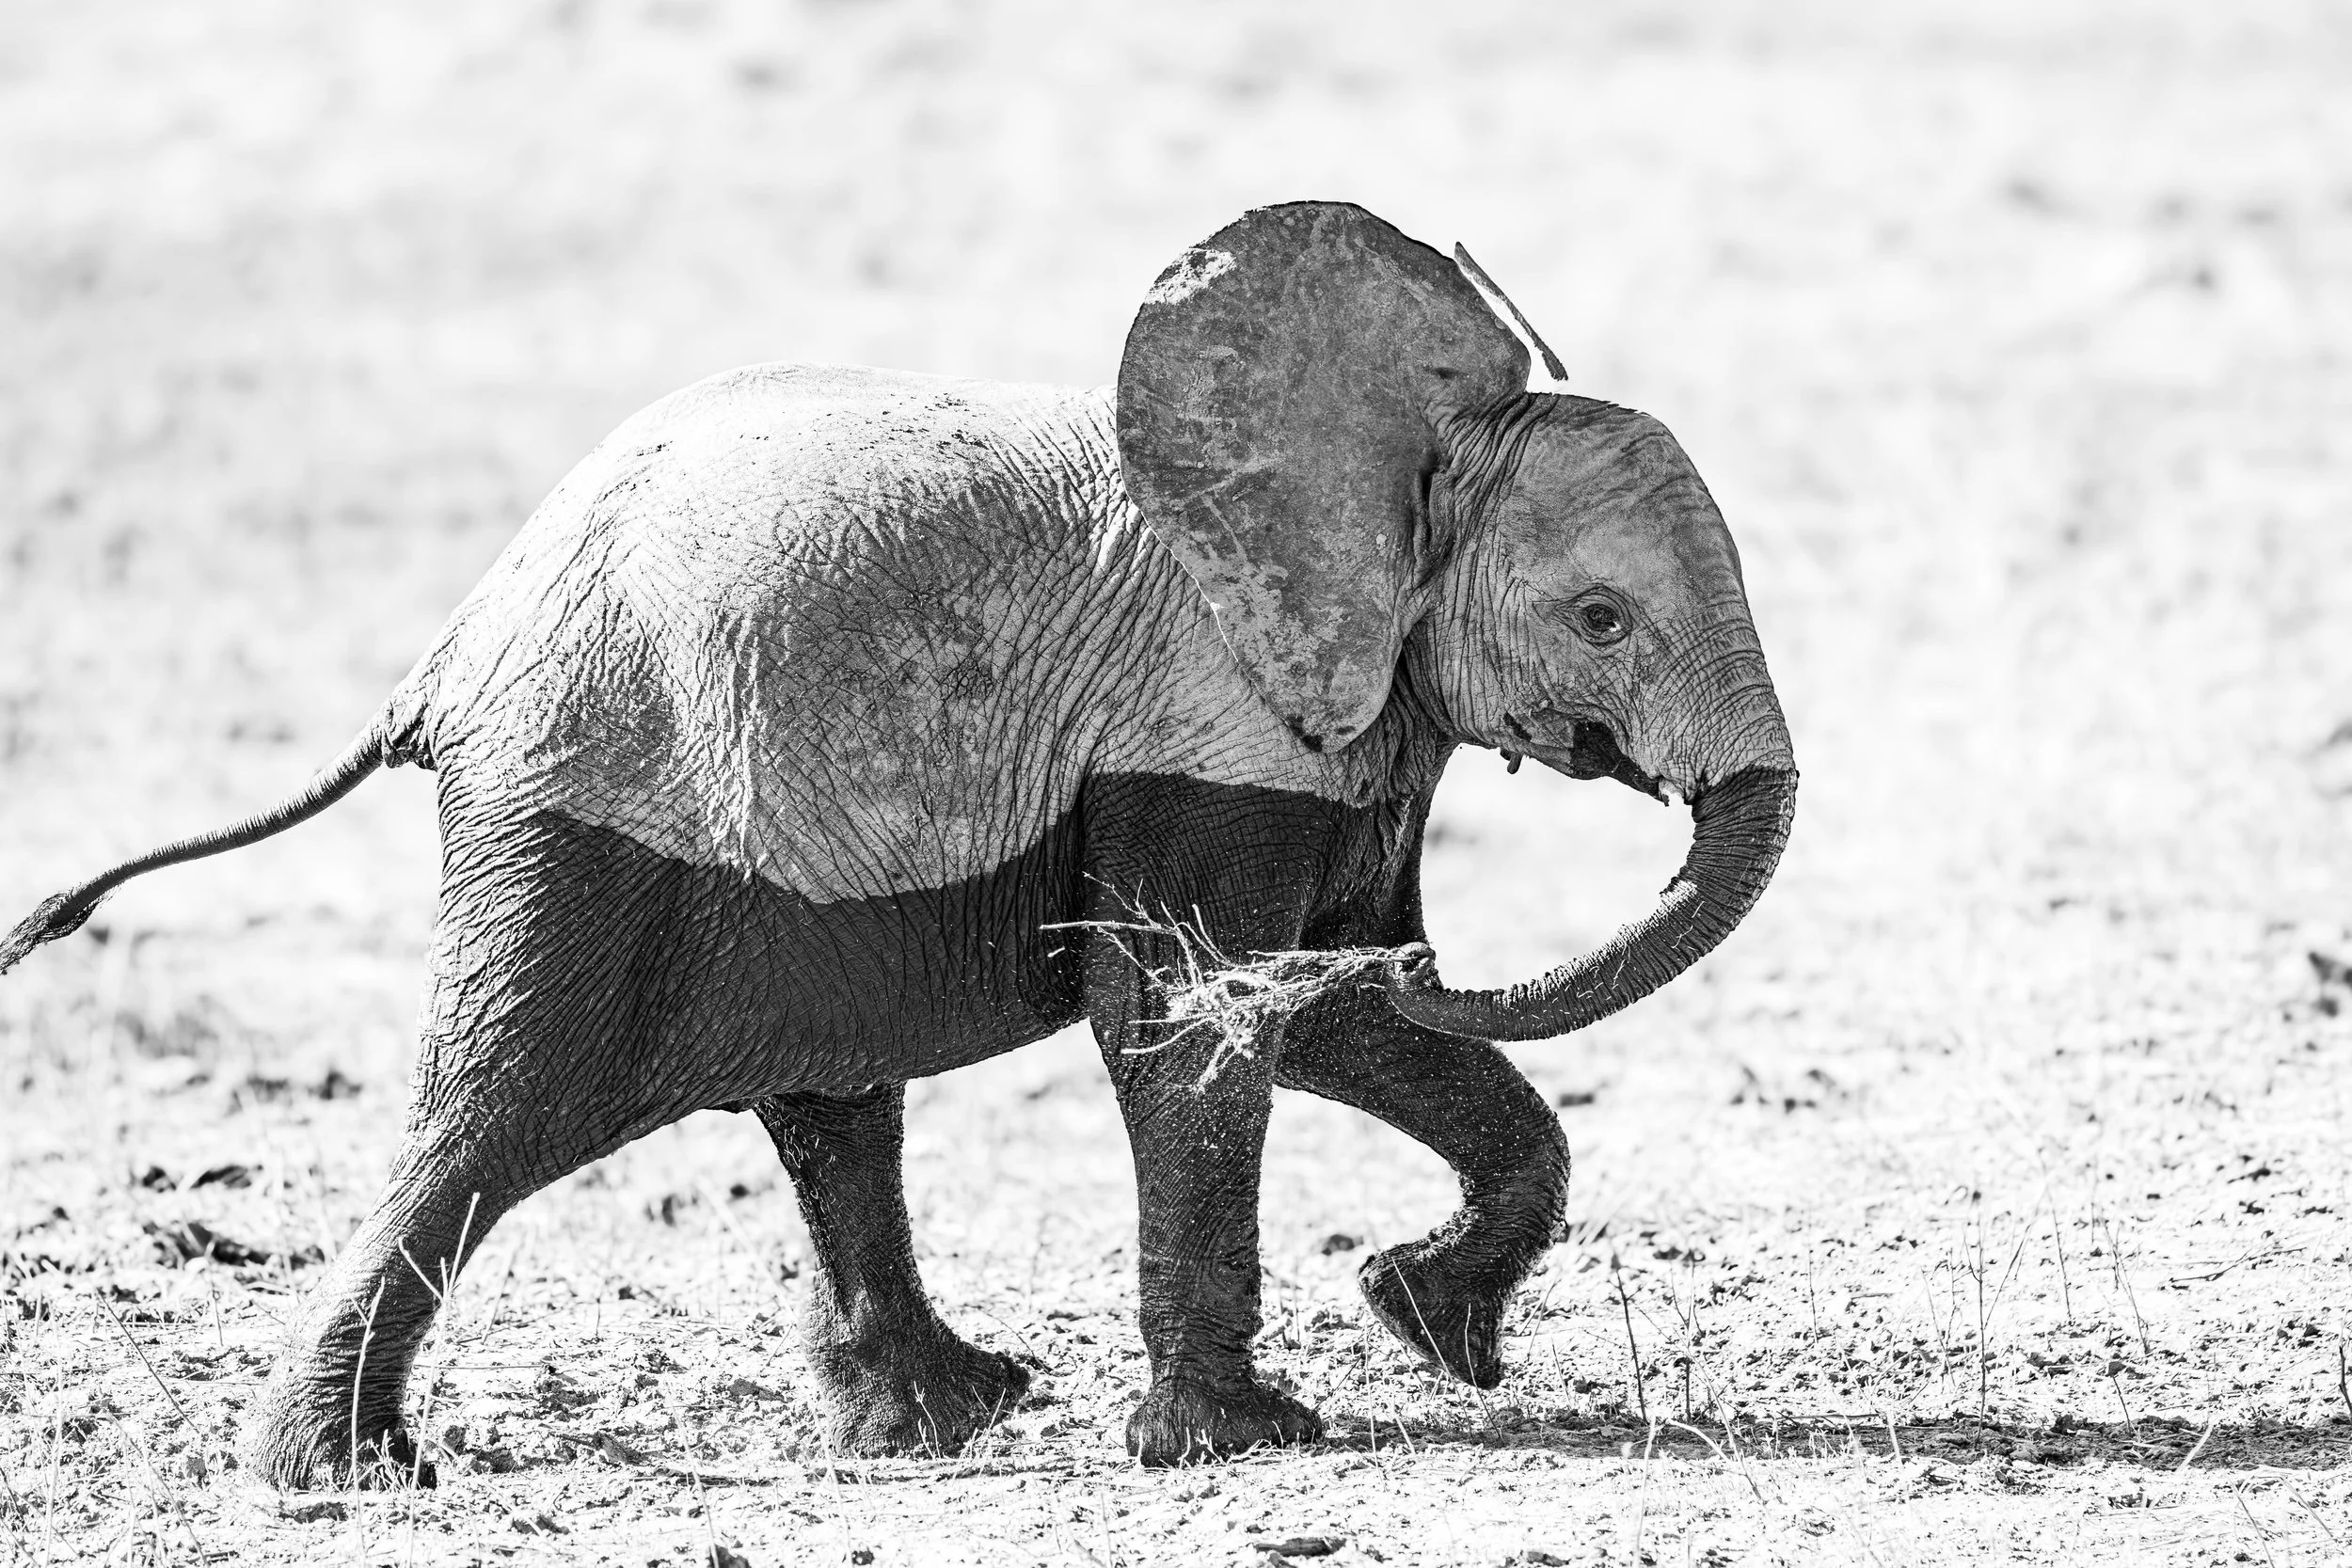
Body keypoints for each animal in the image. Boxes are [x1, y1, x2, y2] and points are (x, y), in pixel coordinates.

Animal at [0, 201, 1795, 1483]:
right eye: (1603, 617)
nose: (1444, 947)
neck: (1392, 452)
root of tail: (444, 659)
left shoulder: (1335, 721)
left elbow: (1317, 1007)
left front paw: (1426, 1323)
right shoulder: (1203, 721)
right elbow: (1181, 1016)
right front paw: (1249, 1437)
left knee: (825, 1104)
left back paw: (943, 1417)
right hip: (577, 818)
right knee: (493, 1114)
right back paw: (341, 1475)